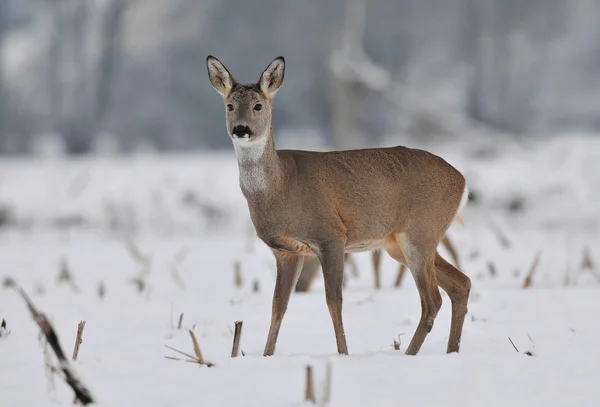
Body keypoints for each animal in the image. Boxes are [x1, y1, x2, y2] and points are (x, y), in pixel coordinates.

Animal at [209, 55, 472, 356]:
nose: (241, 129)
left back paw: (410, 354)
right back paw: (451, 350)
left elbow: (334, 300)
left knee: (432, 300)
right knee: (461, 284)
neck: (281, 186)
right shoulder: (285, 251)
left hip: (420, 232)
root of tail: (462, 181)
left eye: (258, 105)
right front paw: (266, 355)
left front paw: (343, 353)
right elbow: (278, 306)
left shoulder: (331, 235)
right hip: (400, 243)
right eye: (229, 105)